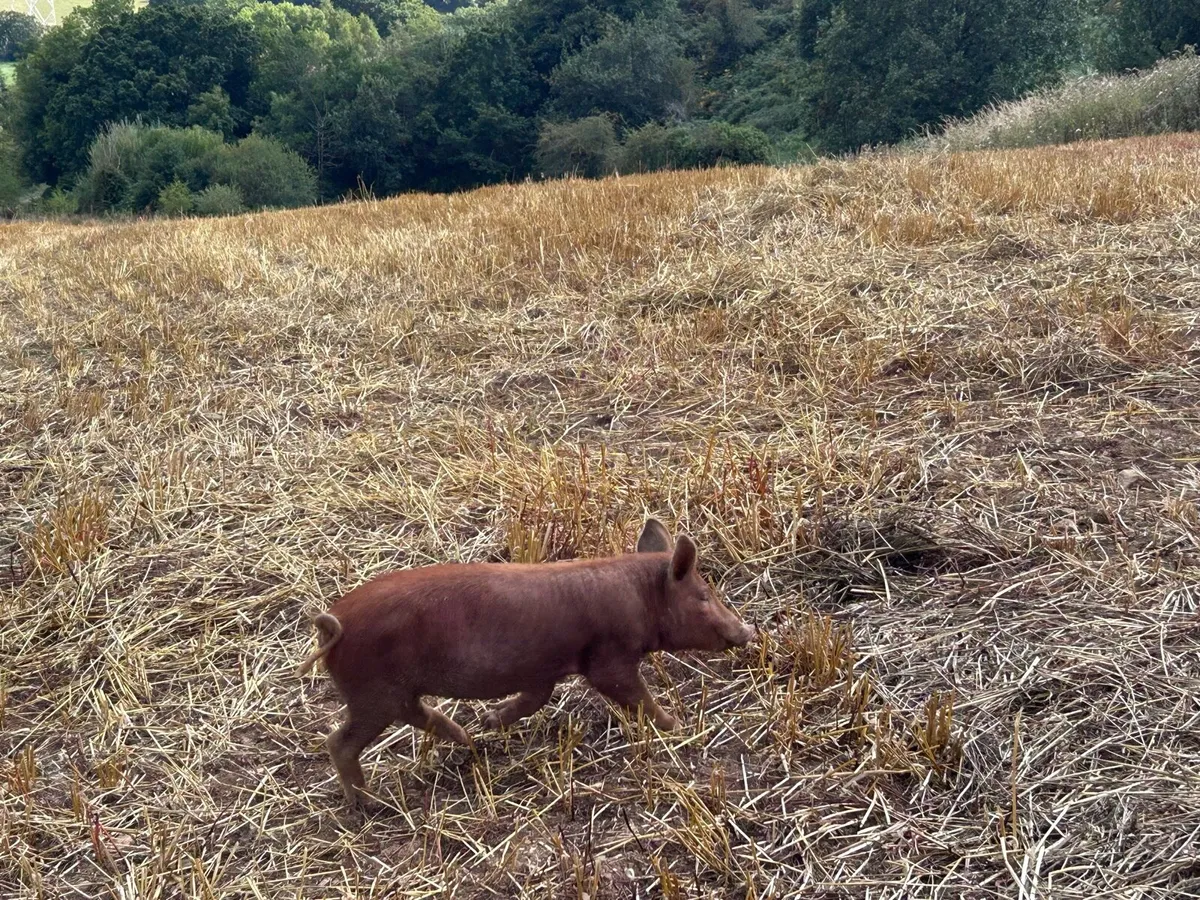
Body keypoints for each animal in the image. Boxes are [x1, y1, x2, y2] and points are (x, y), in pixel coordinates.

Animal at [297, 518, 756, 805]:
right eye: (704, 597)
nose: (748, 630)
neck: (640, 598)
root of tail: (335, 625)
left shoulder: (542, 669)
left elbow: (535, 699)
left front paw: (491, 720)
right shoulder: (609, 656)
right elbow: (633, 694)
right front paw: (677, 726)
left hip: (388, 694)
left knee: (414, 714)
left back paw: (469, 738)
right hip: (372, 693)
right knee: (340, 741)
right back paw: (368, 804)